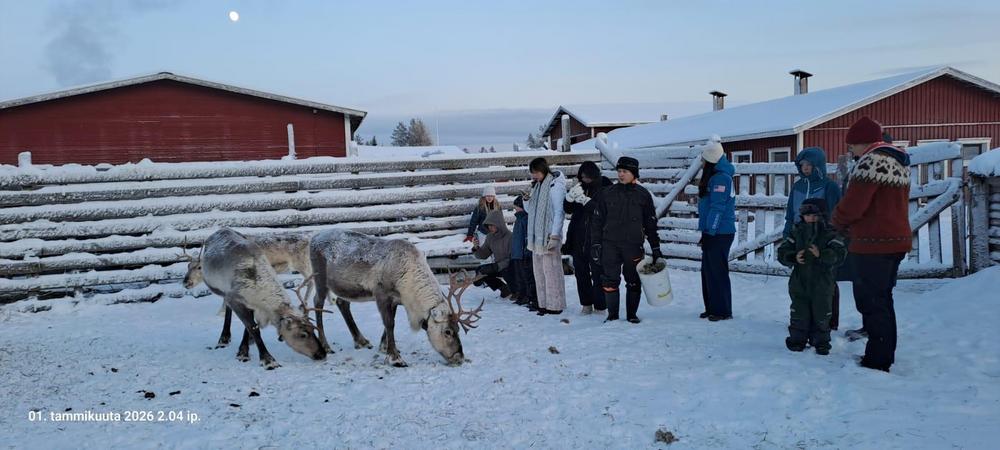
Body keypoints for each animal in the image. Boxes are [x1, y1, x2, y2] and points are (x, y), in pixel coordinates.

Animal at [192, 227, 327, 369]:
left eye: (313, 329)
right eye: (303, 334)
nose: (322, 354)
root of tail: (220, 230)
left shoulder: (253, 305)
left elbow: (249, 328)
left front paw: (243, 351)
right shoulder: (236, 300)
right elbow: (253, 328)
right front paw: (268, 360)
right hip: (222, 290)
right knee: (227, 309)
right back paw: (223, 339)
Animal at [309, 229, 484, 367]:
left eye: (458, 329)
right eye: (447, 331)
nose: (460, 358)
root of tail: (314, 237)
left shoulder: (397, 299)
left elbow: (390, 323)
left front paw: (384, 347)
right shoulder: (381, 294)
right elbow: (389, 324)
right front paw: (395, 358)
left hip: (345, 287)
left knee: (342, 303)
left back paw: (361, 340)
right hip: (319, 278)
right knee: (317, 302)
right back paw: (326, 345)